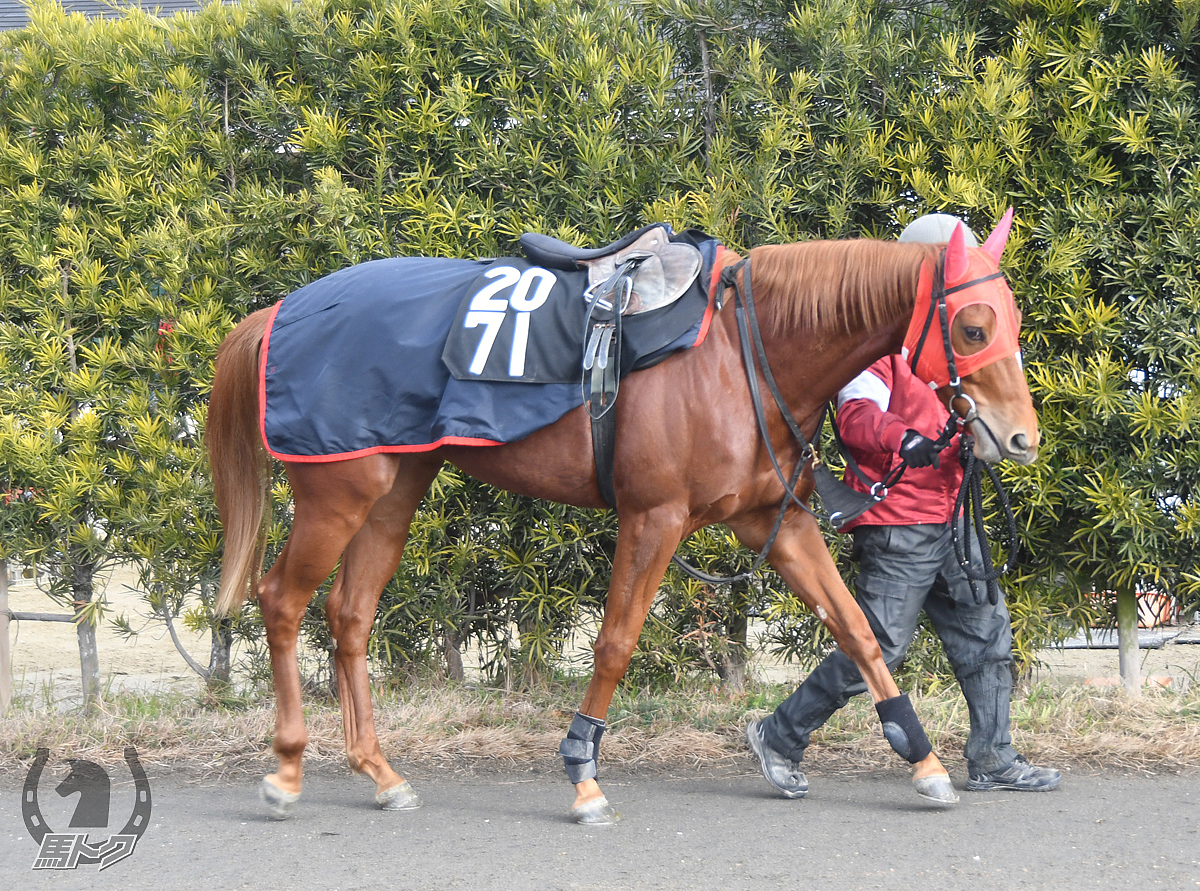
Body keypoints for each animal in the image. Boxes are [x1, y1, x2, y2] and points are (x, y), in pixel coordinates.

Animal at [206, 216, 1032, 821]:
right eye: (972, 328)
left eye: (1013, 321)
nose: (1022, 437)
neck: (740, 351)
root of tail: (284, 308)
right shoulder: (652, 518)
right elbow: (614, 643)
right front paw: (582, 768)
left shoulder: (777, 522)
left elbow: (858, 631)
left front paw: (924, 758)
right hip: (338, 492)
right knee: (281, 601)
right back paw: (286, 768)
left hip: (394, 491)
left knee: (349, 614)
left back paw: (380, 771)